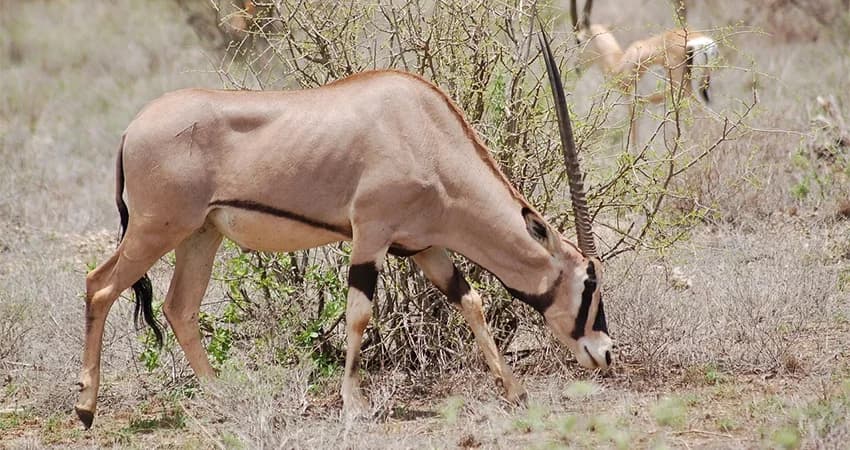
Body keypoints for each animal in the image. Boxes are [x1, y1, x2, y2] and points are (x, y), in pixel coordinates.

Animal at [74, 31, 612, 429]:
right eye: (590, 283)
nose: (605, 354)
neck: (428, 136)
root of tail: (134, 127)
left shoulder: (422, 246)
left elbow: (470, 300)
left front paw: (515, 390)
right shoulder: (371, 235)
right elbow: (359, 313)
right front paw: (355, 406)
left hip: (200, 234)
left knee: (179, 307)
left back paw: (221, 398)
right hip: (155, 230)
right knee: (99, 286)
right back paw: (85, 407)